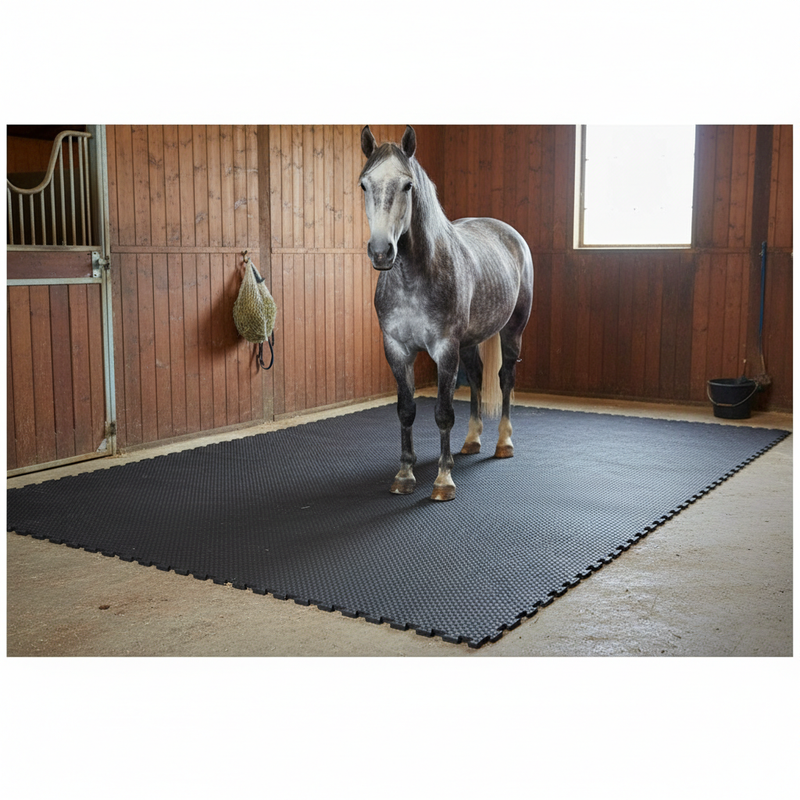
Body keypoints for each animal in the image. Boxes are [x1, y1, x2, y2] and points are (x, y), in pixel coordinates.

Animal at [360, 125, 534, 501]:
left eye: (408, 185)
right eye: (364, 184)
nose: (381, 252)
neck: (413, 278)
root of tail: (509, 234)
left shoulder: (444, 349)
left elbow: (442, 412)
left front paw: (443, 480)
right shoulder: (396, 349)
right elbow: (406, 410)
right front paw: (405, 475)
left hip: (512, 330)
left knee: (506, 378)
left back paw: (503, 443)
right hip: (469, 343)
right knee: (478, 377)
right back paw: (470, 441)